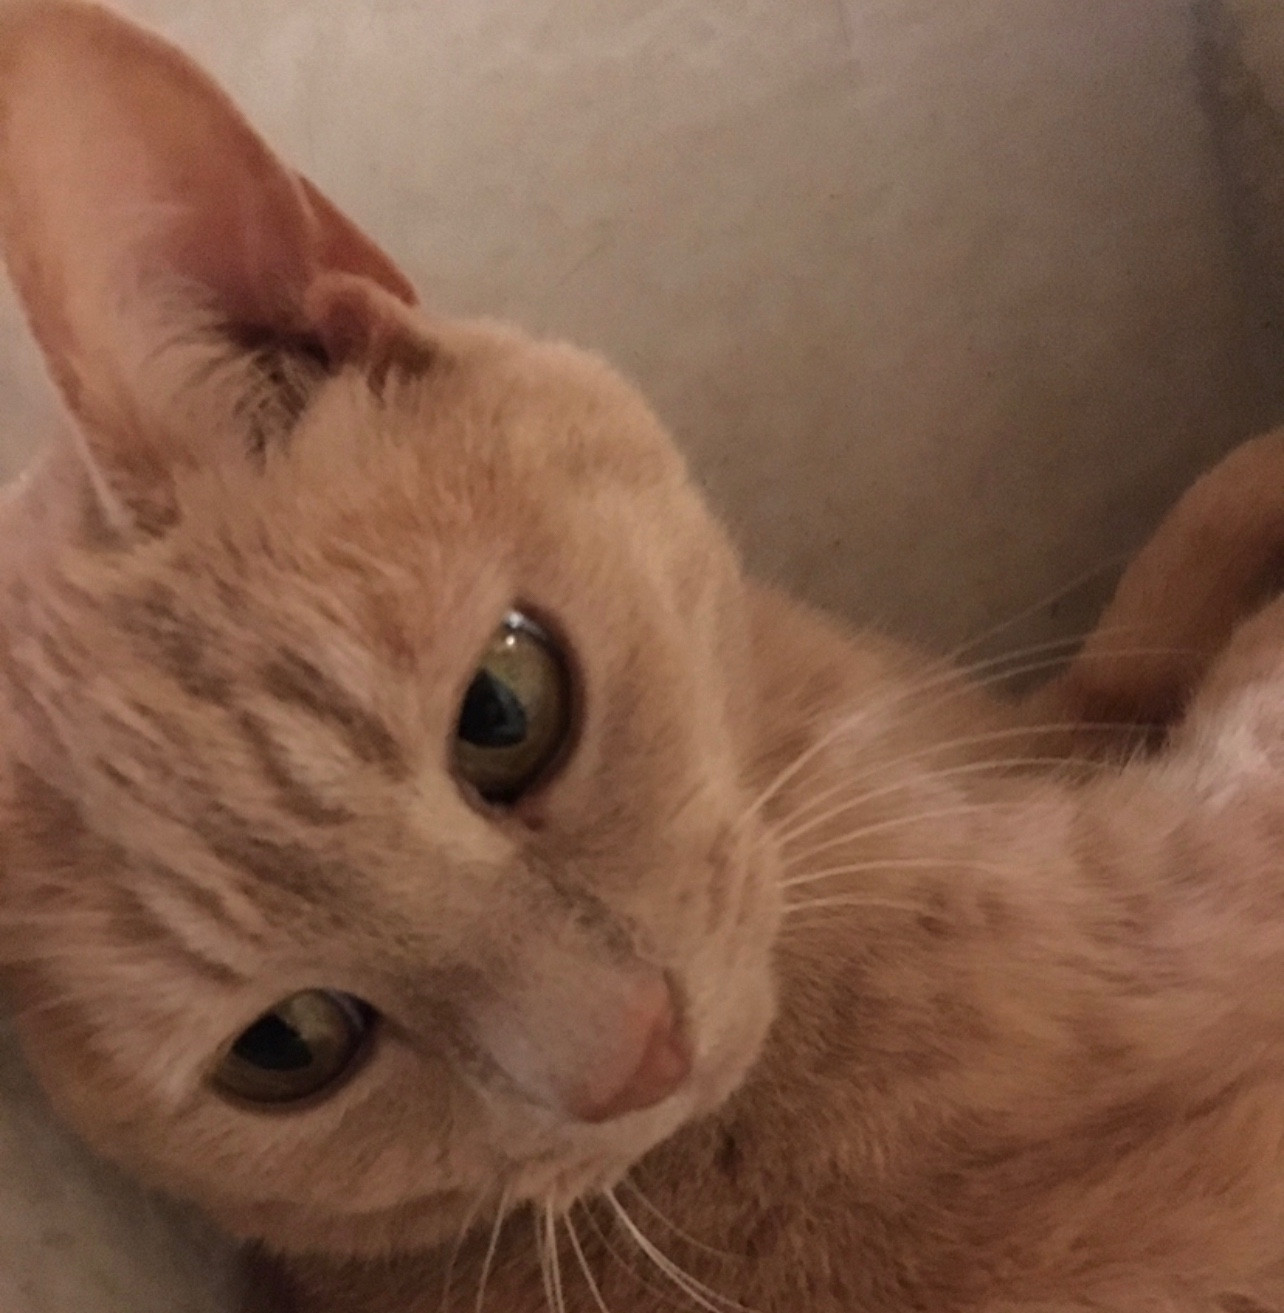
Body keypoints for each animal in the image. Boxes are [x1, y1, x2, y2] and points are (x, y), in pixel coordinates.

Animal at [2, 2, 1281, 1313]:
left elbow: (1177, 560)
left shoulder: (1055, 715)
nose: (640, 1056)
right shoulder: (1188, 883)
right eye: (290, 1043)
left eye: (503, 710)